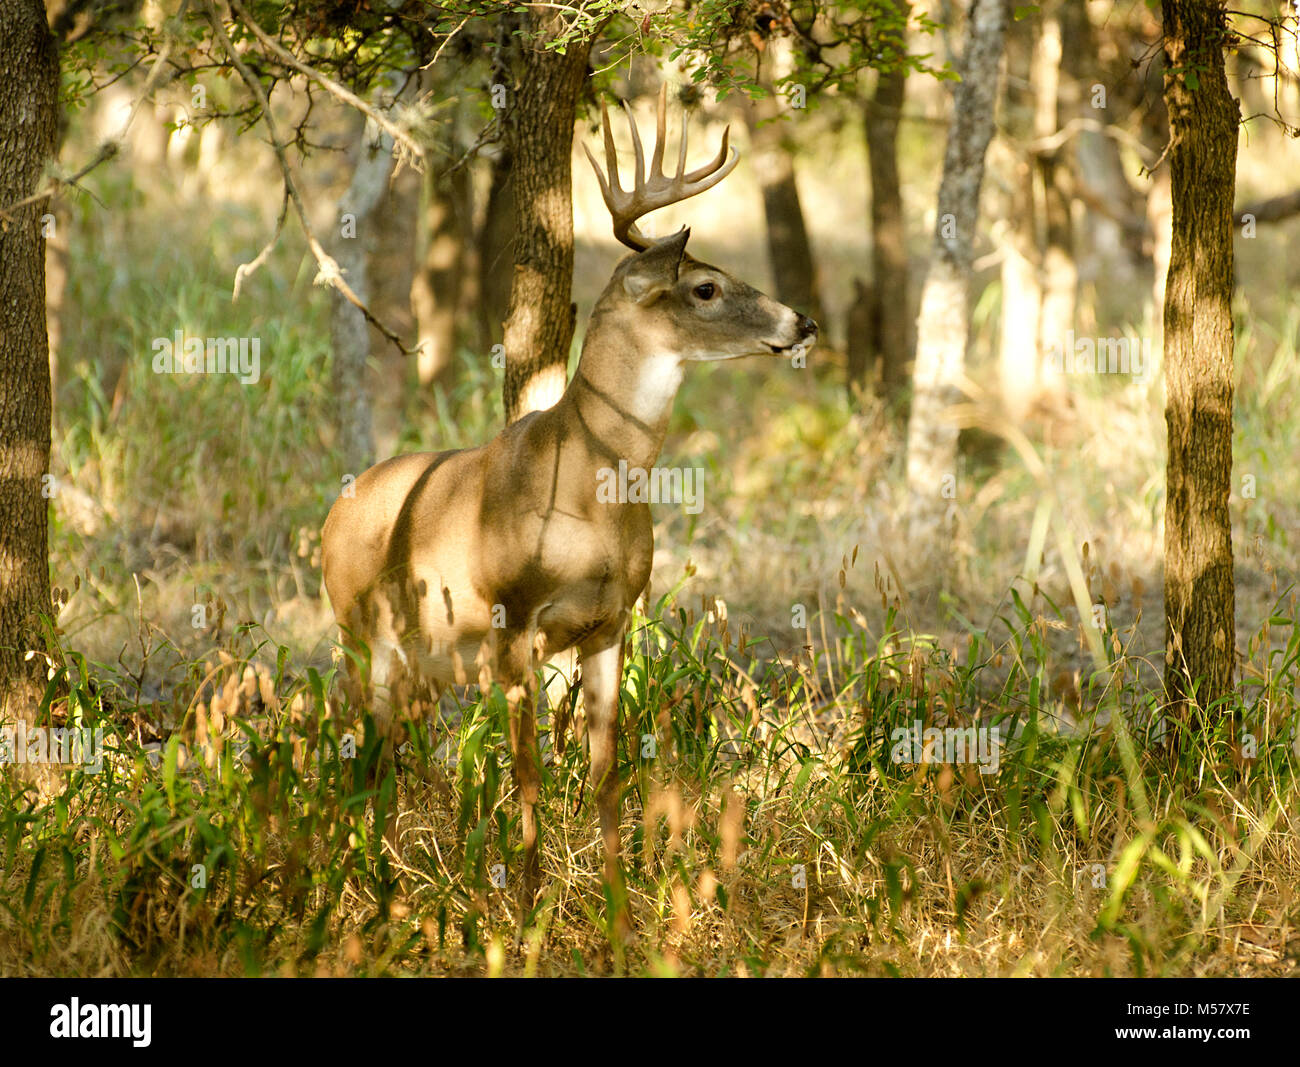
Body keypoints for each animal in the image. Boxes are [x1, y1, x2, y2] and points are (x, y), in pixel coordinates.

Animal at [319, 85, 816, 930]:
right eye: (705, 287)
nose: (802, 321)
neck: (592, 488)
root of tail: (326, 519)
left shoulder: (611, 624)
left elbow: (606, 775)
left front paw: (619, 910)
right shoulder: (513, 623)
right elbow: (527, 776)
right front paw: (526, 906)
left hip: (422, 661)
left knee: (387, 761)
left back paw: (388, 886)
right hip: (362, 636)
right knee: (358, 756)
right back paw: (366, 892)